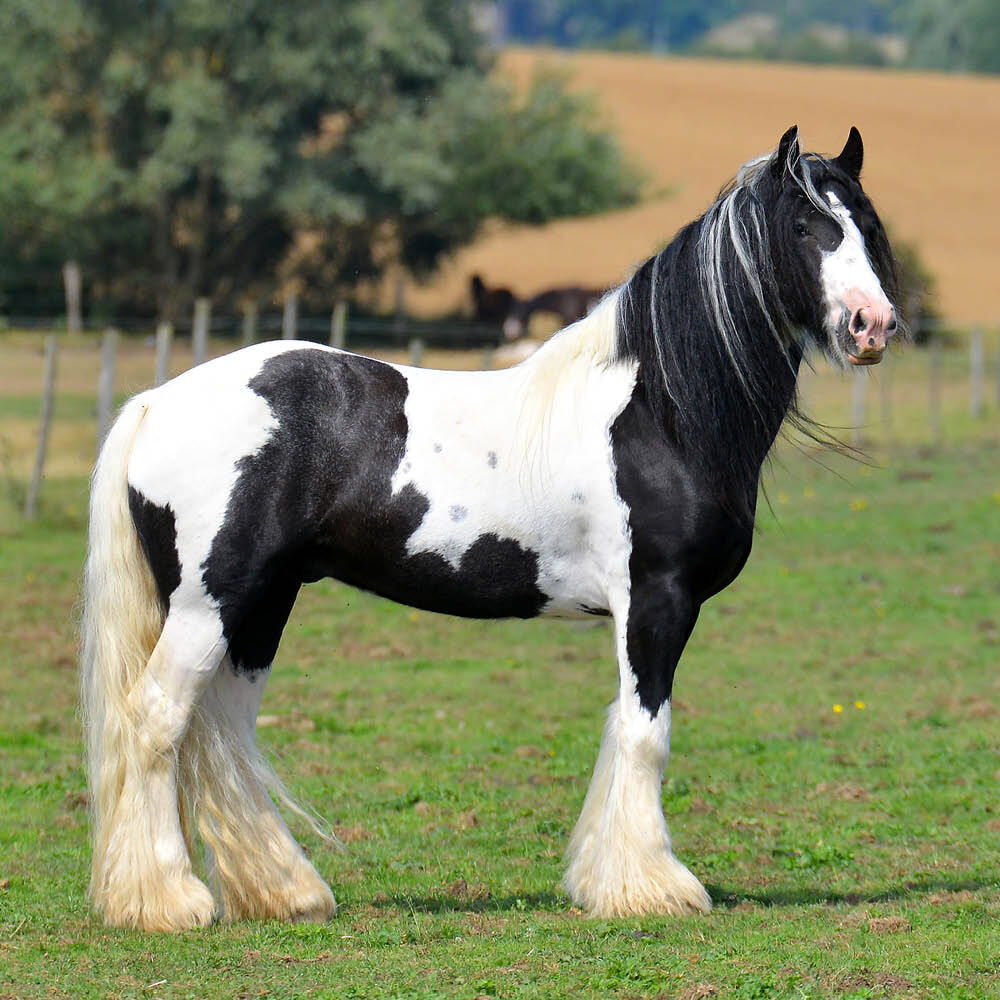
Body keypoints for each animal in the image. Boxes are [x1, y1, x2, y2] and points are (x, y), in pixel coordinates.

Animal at [81, 125, 899, 931]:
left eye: (864, 219)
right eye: (805, 227)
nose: (873, 325)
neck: (660, 410)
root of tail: (155, 402)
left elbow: (625, 731)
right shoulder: (656, 601)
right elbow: (646, 735)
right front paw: (651, 889)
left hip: (263, 602)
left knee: (222, 729)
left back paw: (284, 892)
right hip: (208, 603)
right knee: (156, 722)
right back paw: (165, 901)